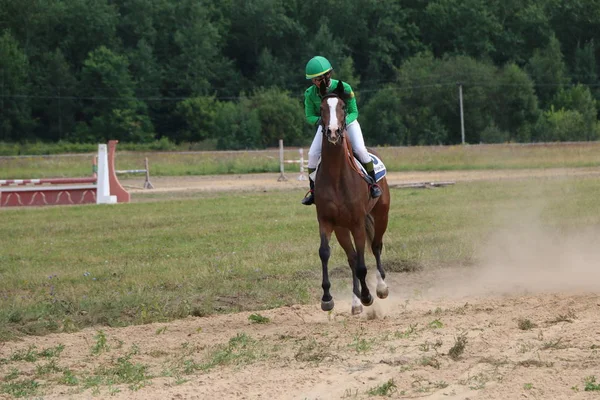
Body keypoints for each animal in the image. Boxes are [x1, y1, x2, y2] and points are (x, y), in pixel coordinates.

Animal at [312, 79, 392, 316]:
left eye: (343, 107)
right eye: (322, 108)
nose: (333, 131)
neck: (337, 175)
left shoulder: (357, 222)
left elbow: (363, 264)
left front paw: (368, 295)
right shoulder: (327, 221)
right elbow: (325, 253)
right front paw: (327, 298)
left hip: (381, 215)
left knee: (375, 246)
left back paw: (380, 287)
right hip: (342, 228)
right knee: (352, 258)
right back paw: (356, 302)